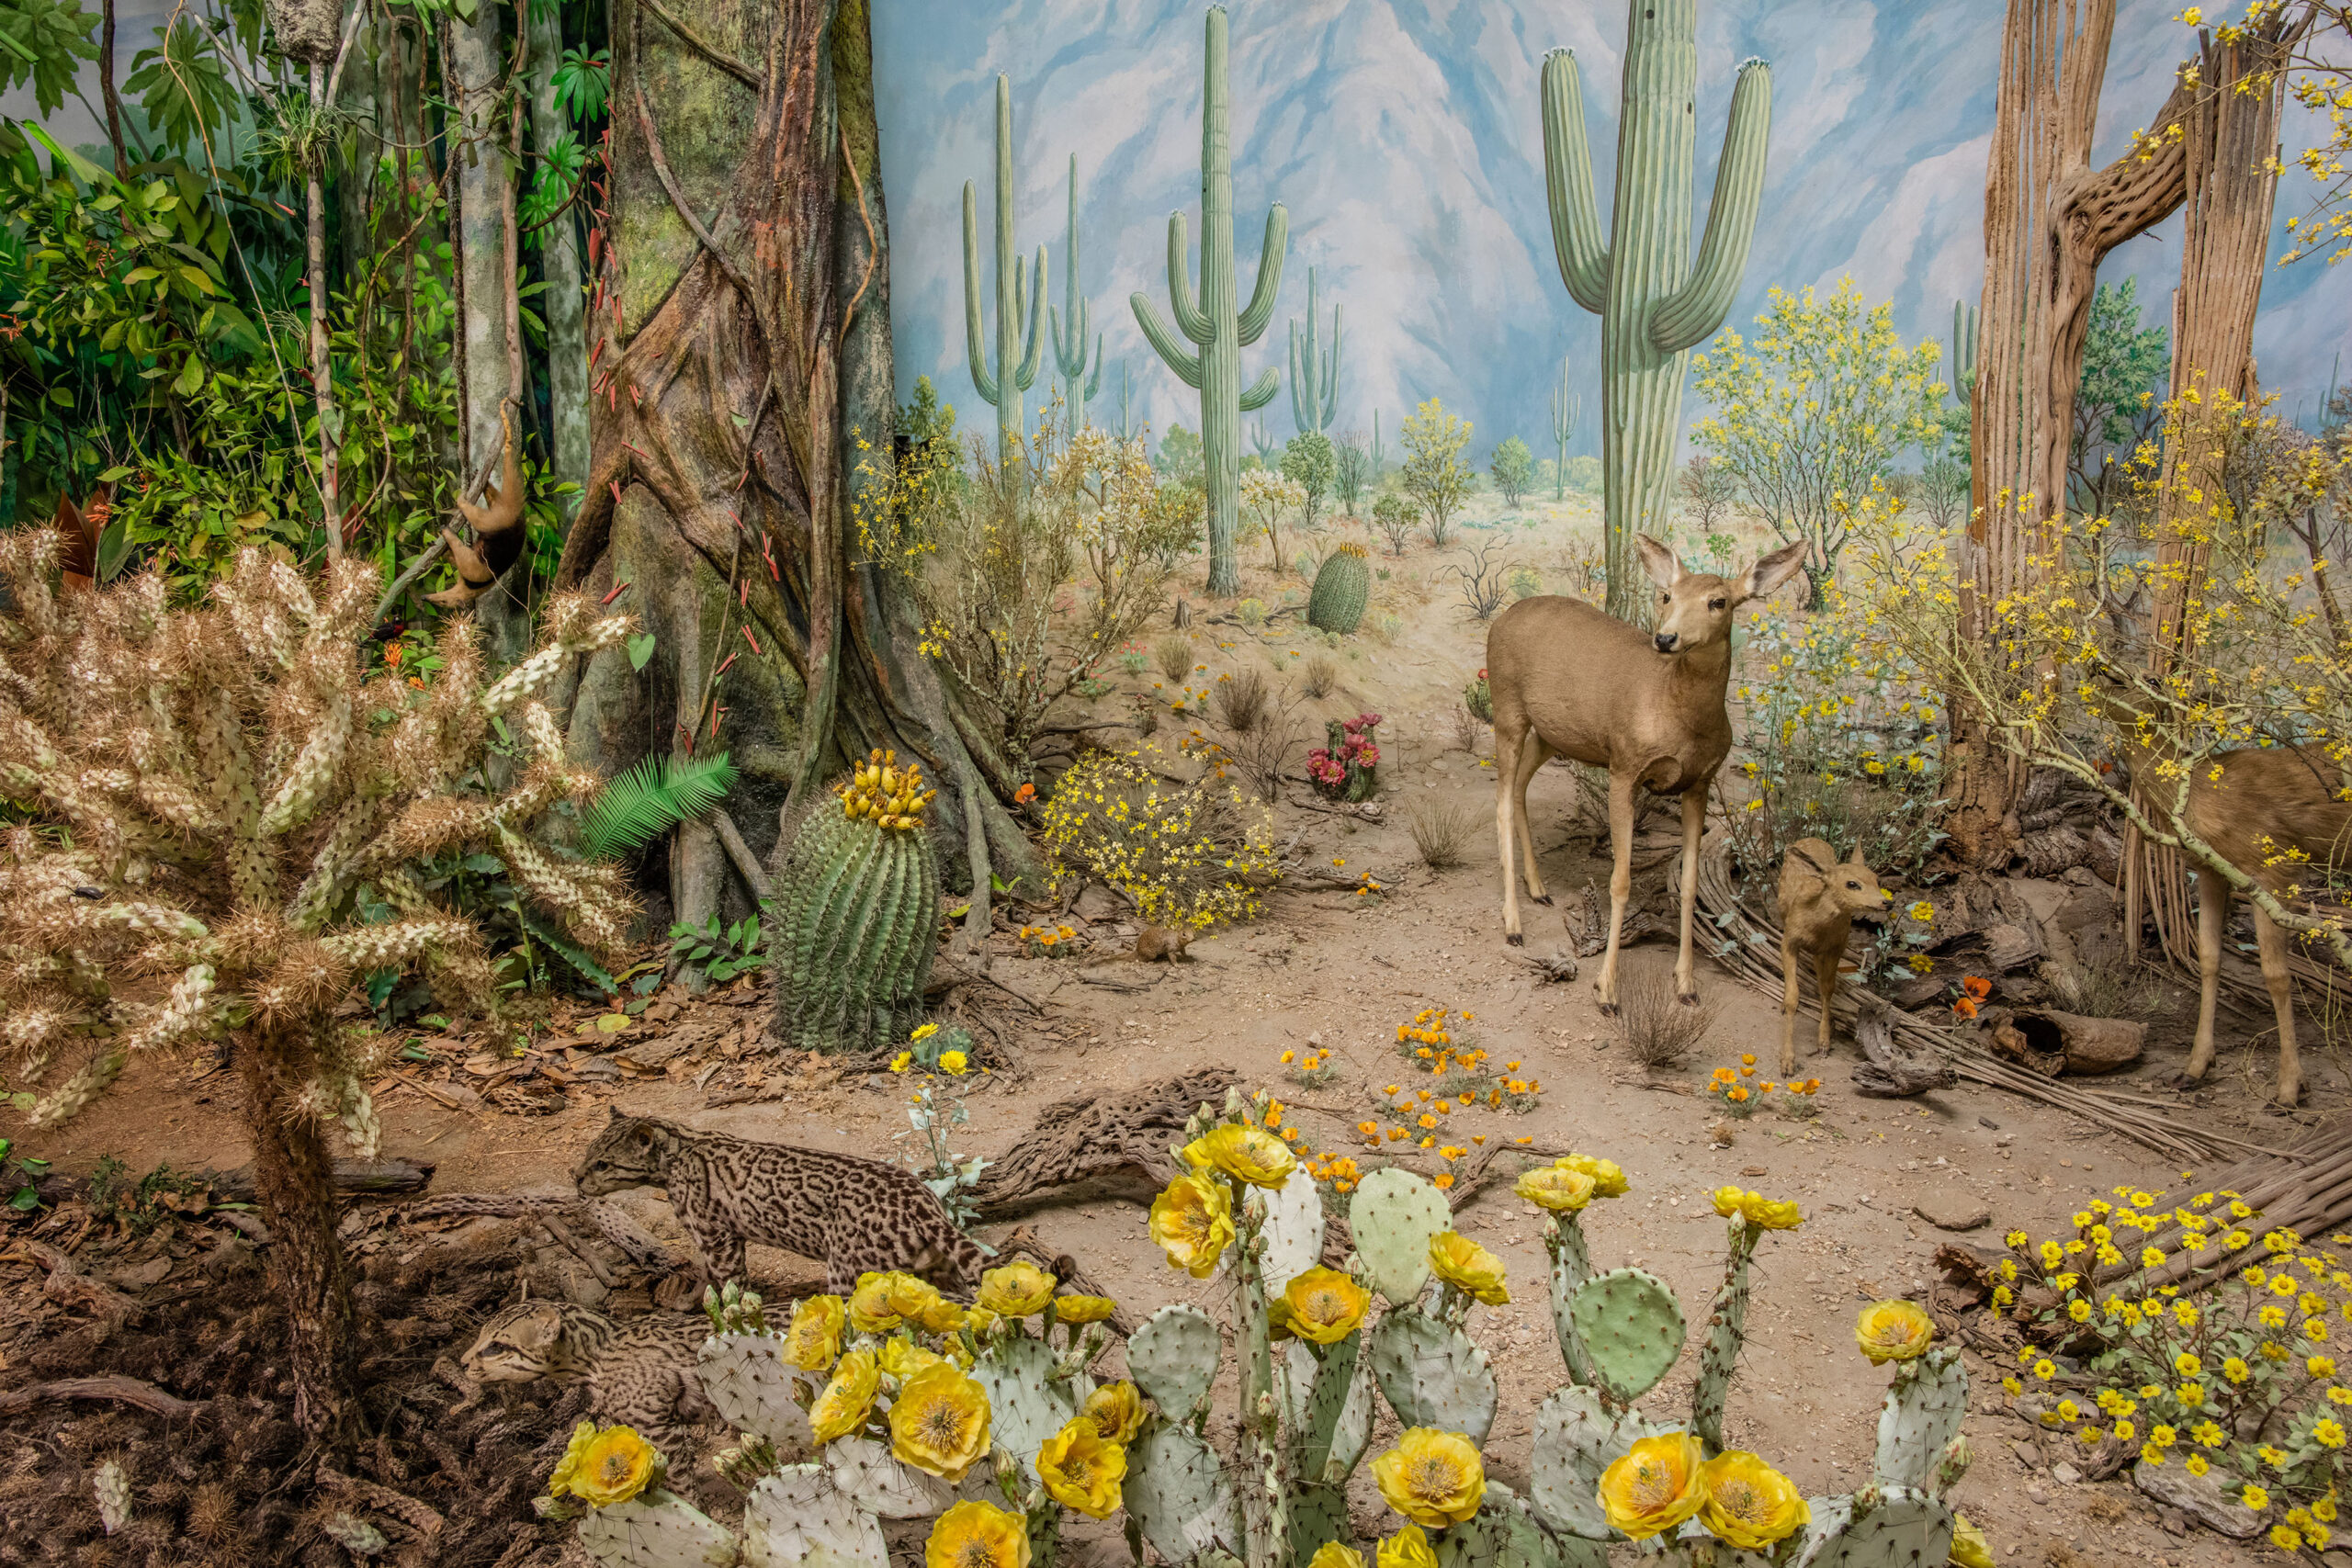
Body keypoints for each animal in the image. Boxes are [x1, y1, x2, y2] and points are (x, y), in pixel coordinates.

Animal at [1486, 533, 1796, 1010]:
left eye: (1719, 601)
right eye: (1667, 596)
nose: (1666, 637)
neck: (1677, 711)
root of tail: (1500, 619)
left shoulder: (1700, 783)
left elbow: (1689, 883)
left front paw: (1686, 983)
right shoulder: (1624, 767)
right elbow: (1620, 880)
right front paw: (1606, 988)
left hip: (1554, 733)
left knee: (1518, 788)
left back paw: (1538, 888)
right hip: (1507, 709)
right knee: (1501, 800)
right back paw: (1513, 924)